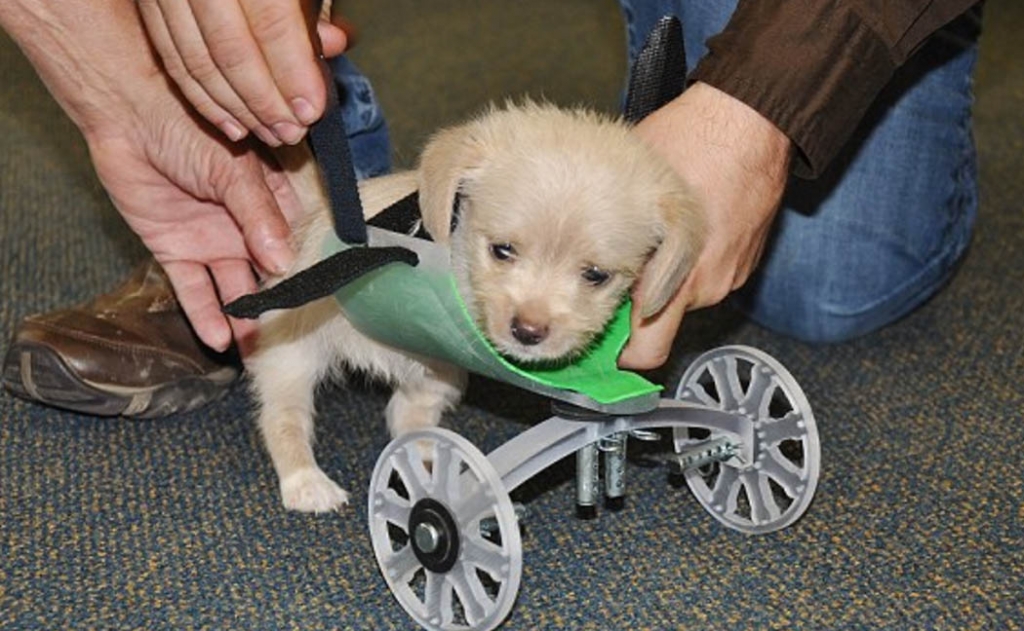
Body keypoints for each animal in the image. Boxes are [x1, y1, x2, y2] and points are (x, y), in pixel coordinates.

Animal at [247, 99, 704, 512]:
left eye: (595, 275)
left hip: (440, 374)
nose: (528, 331)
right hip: (290, 356)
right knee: (283, 418)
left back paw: (427, 456)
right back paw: (306, 482)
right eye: (502, 250)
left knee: (405, 414)